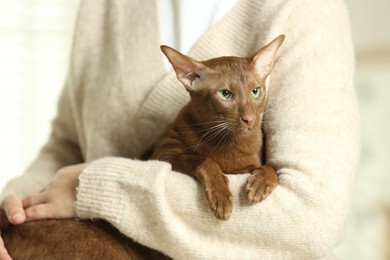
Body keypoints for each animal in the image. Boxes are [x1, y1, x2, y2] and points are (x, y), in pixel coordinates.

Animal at [1, 34, 284, 258]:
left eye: (256, 91)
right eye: (226, 95)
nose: (249, 119)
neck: (230, 142)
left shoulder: (252, 161)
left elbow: (271, 168)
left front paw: (260, 183)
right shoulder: (164, 154)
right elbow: (205, 159)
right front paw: (222, 197)